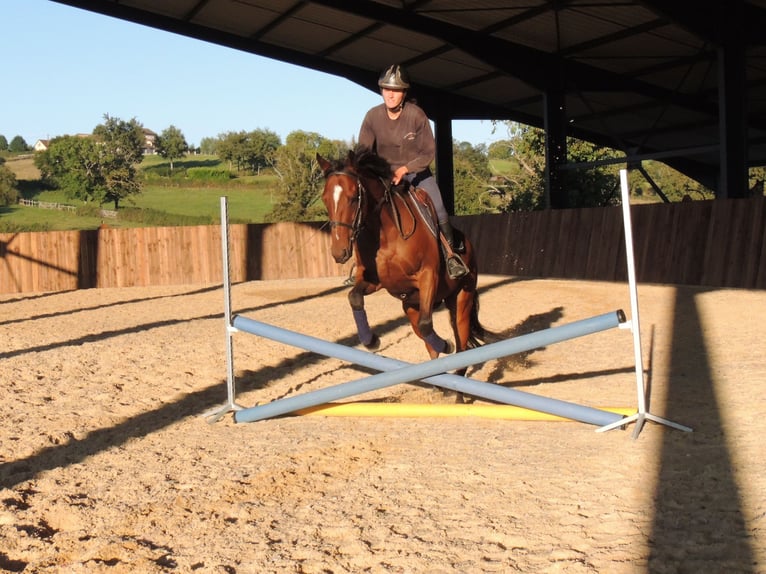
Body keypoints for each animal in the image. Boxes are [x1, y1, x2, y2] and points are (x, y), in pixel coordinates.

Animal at [316, 147, 498, 374]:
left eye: (353, 198)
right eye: (325, 199)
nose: (339, 252)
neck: (385, 233)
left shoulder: (428, 277)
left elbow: (426, 325)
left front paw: (446, 344)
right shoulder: (375, 281)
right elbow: (354, 297)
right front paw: (371, 340)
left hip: (461, 300)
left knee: (461, 344)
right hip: (411, 305)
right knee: (428, 342)